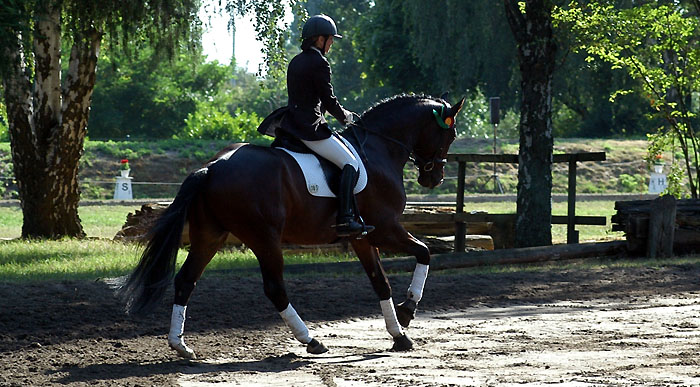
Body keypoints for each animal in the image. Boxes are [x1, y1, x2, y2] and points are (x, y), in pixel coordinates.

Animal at [117, 94, 464, 360]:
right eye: (451, 135)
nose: (433, 178)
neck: (379, 149)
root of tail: (212, 167)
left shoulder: (362, 238)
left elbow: (381, 282)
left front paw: (399, 334)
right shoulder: (385, 228)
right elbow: (424, 252)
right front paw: (408, 310)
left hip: (210, 236)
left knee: (186, 280)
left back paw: (181, 346)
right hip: (264, 238)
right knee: (275, 288)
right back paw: (311, 340)